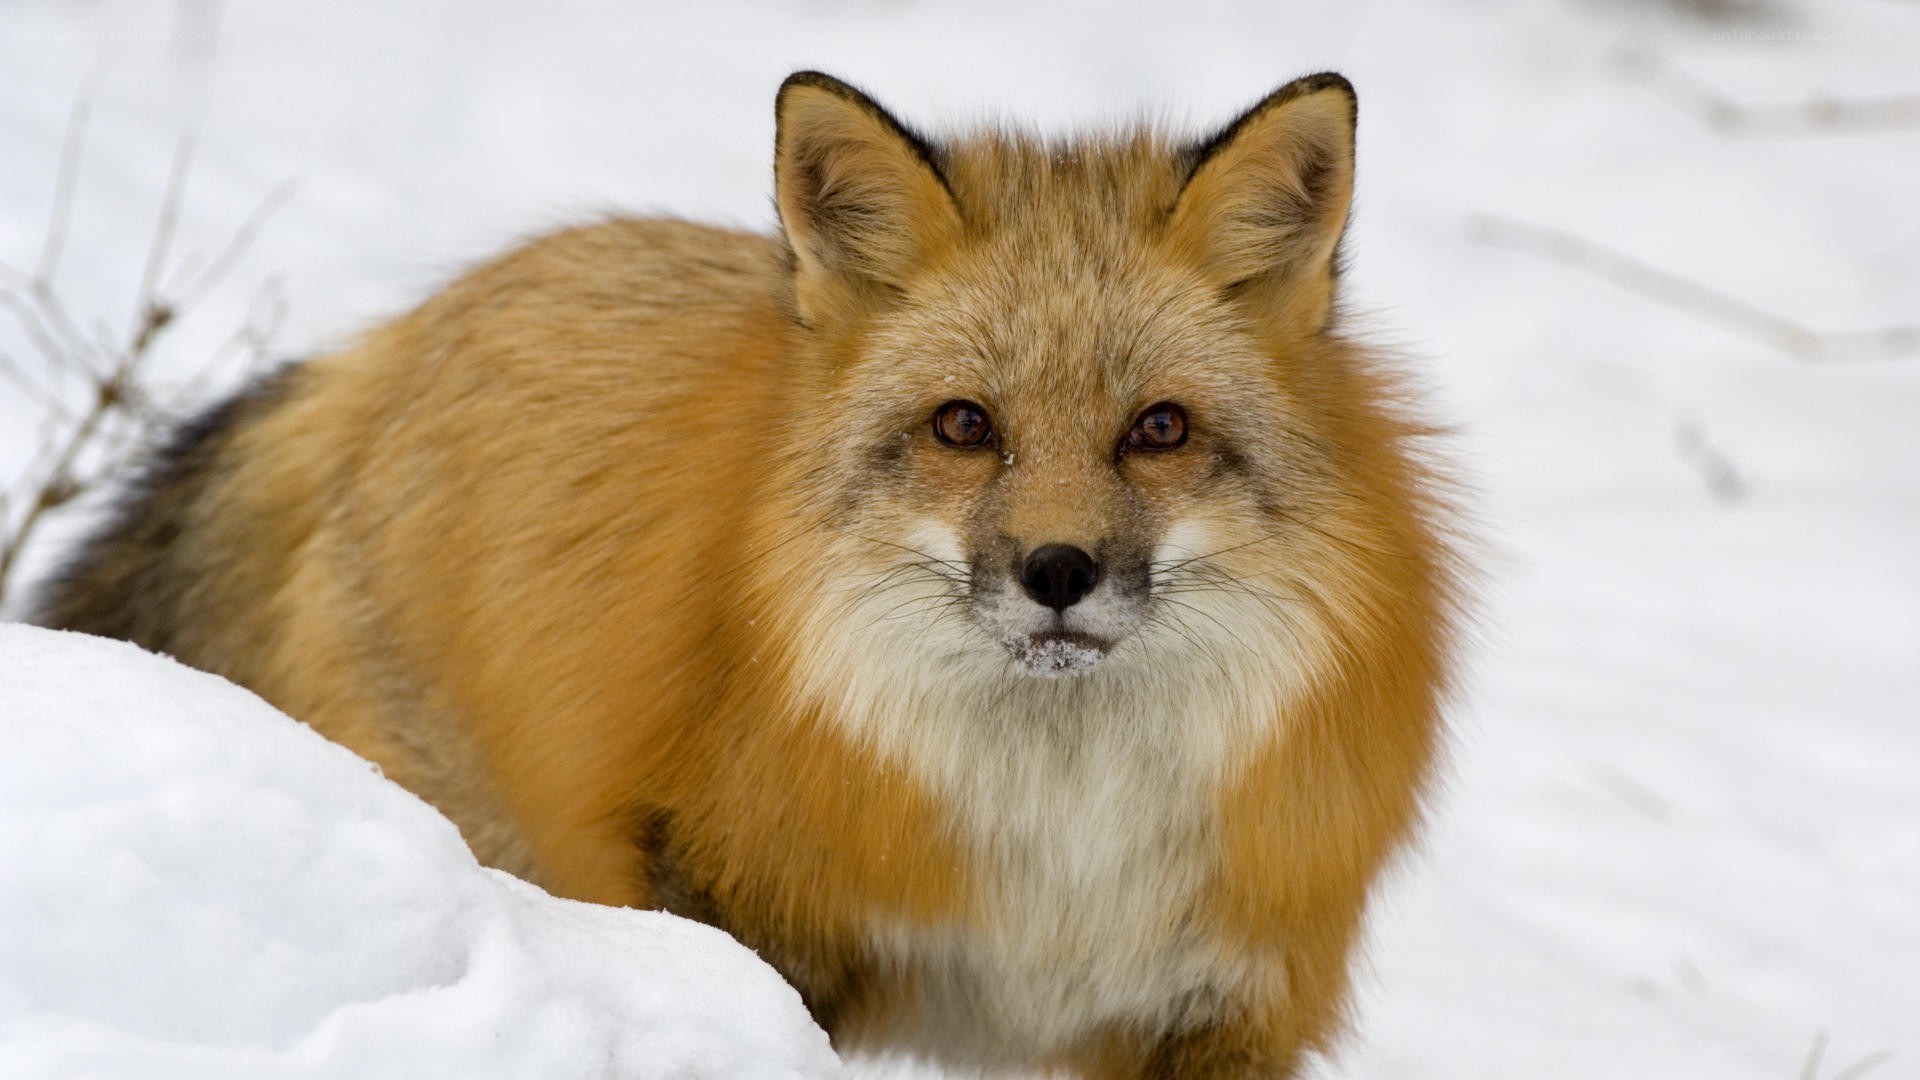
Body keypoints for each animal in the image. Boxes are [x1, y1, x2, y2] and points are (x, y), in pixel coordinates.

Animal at [33, 71, 1462, 1076]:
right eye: (965, 426)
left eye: (1158, 429)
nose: (1057, 570)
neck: (1059, 849)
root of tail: (395, 338)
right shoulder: (747, 909)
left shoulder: (1221, 1002)